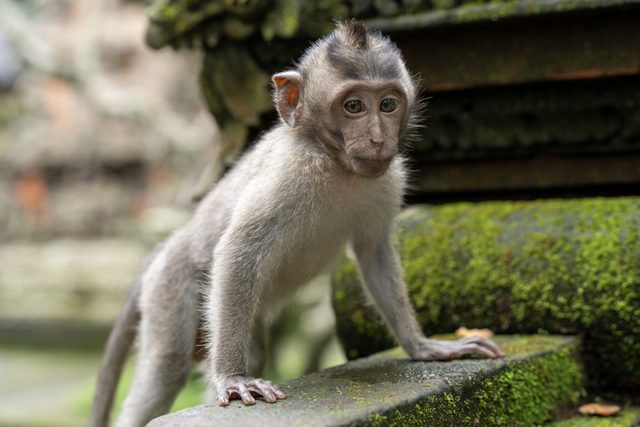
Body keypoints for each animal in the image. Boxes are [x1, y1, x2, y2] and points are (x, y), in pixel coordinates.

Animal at [90, 21, 505, 427]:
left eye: (388, 104)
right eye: (353, 106)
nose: (377, 138)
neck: (337, 165)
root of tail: (169, 244)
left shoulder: (388, 180)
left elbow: (375, 254)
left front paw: (424, 346)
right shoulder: (288, 175)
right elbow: (239, 249)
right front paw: (232, 377)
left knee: (250, 349)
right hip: (170, 288)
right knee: (166, 367)